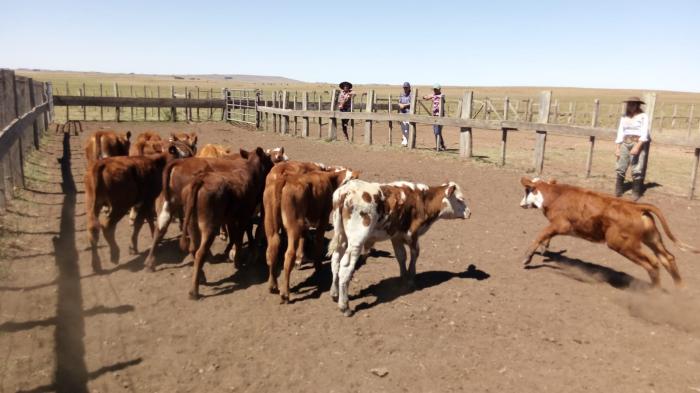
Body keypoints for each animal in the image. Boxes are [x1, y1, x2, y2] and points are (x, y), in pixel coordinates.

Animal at [180, 147, 274, 298]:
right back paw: (194, 290)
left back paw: (202, 278)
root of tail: (201, 180)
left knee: (193, 249)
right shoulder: (243, 217)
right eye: (267, 158)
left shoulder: (231, 219)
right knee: (200, 252)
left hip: (191, 224)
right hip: (209, 227)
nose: (273, 165)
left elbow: (234, 236)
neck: (250, 174)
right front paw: (237, 261)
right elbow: (239, 238)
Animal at [328, 179, 470, 314]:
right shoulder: (413, 234)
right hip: (356, 240)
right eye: (460, 199)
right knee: (345, 267)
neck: (422, 199)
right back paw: (344, 306)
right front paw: (411, 280)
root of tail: (346, 191)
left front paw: (403, 277)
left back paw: (334, 293)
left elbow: (401, 256)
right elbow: (414, 254)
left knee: (335, 260)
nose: (469, 212)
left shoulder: (396, 236)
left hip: (341, 236)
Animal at [516, 176, 696, 286]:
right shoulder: (557, 227)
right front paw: (543, 249)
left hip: (622, 244)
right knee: (667, 258)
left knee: (652, 263)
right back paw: (679, 290)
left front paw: (527, 257)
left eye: (526, 191)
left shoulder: (561, 224)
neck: (555, 195)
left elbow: (541, 234)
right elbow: (546, 236)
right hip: (652, 238)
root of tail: (637, 207)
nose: (521, 204)